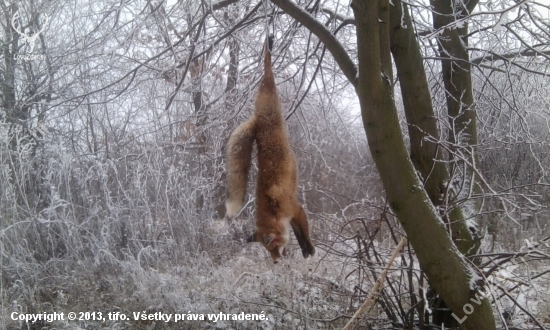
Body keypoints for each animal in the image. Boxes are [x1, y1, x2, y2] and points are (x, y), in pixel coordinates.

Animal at [226, 36, 316, 262]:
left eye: (274, 247)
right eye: (268, 251)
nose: (275, 262)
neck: (274, 208)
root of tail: (258, 119)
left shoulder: (296, 209)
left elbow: (303, 233)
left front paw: (309, 248)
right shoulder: (291, 216)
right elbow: (297, 234)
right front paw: (305, 251)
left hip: (269, 92)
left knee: (267, 70)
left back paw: (268, 48)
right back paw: (269, 45)